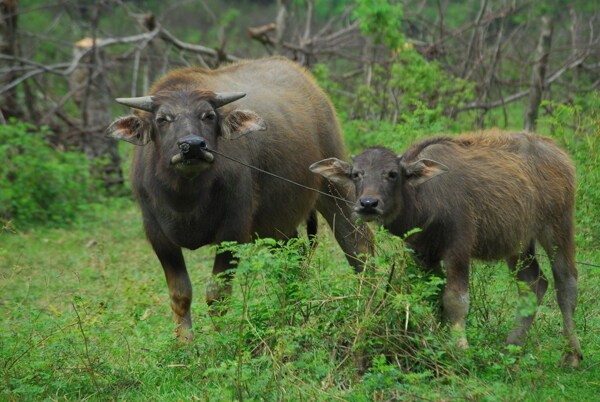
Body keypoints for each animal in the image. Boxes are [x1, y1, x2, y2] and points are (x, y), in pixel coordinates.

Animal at [105, 55, 372, 340]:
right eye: (163, 119)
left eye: (209, 115)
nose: (193, 145)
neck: (187, 197)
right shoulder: (158, 236)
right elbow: (180, 294)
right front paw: (184, 343)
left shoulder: (232, 231)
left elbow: (217, 295)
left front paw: (221, 340)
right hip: (279, 222)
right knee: (293, 260)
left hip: (334, 184)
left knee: (358, 246)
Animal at [312, 130, 584, 368]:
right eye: (357, 174)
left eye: (392, 174)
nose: (368, 204)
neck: (426, 200)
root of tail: (558, 153)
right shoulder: (423, 254)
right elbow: (435, 297)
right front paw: (437, 344)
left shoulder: (458, 248)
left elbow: (455, 300)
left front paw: (459, 350)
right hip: (518, 243)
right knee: (533, 283)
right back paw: (511, 350)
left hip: (557, 227)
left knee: (566, 284)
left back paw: (571, 355)